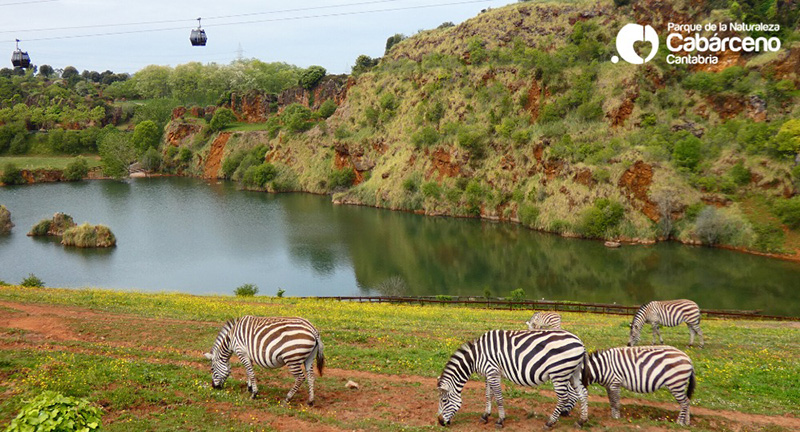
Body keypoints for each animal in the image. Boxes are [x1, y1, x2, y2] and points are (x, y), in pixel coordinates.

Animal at [436, 329, 588, 429]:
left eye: (444, 400)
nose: (440, 422)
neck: (476, 356)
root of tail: (580, 342)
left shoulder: (492, 371)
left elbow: (498, 397)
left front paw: (500, 420)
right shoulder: (489, 374)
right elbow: (488, 395)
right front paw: (485, 416)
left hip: (559, 373)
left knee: (563, 398)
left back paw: (550, 423)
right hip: (573, 373)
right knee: (583, 393)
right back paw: (581, 421)